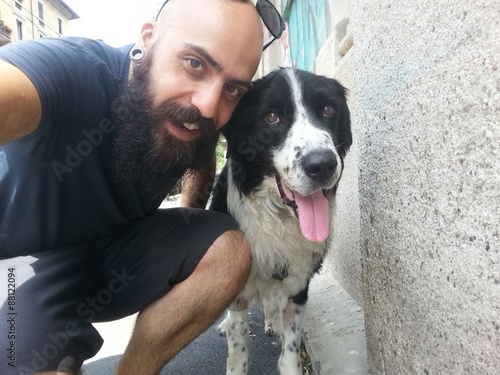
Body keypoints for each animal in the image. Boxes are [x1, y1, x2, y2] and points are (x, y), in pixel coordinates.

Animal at [210, 68, 352, 375]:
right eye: (271, 116)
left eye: (328, 109)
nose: (322, 165)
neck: (277, 217)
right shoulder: (240, 290)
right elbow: (237, 341)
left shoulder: (297, 284)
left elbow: (291, 347)